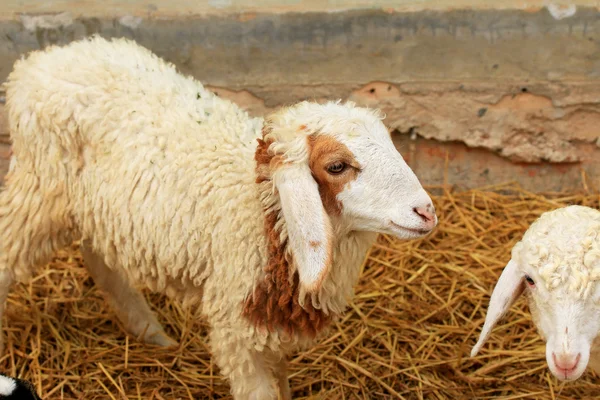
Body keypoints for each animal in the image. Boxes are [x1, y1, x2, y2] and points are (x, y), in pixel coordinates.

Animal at [1, 36, 440, 398]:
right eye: (336, 166)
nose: (426, 211)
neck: (260, 208)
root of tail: (38, 61)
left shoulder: (272, 326)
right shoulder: (237, 328)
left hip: (99, 208)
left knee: (99, 258)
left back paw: (152, 334)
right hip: (38, 188)